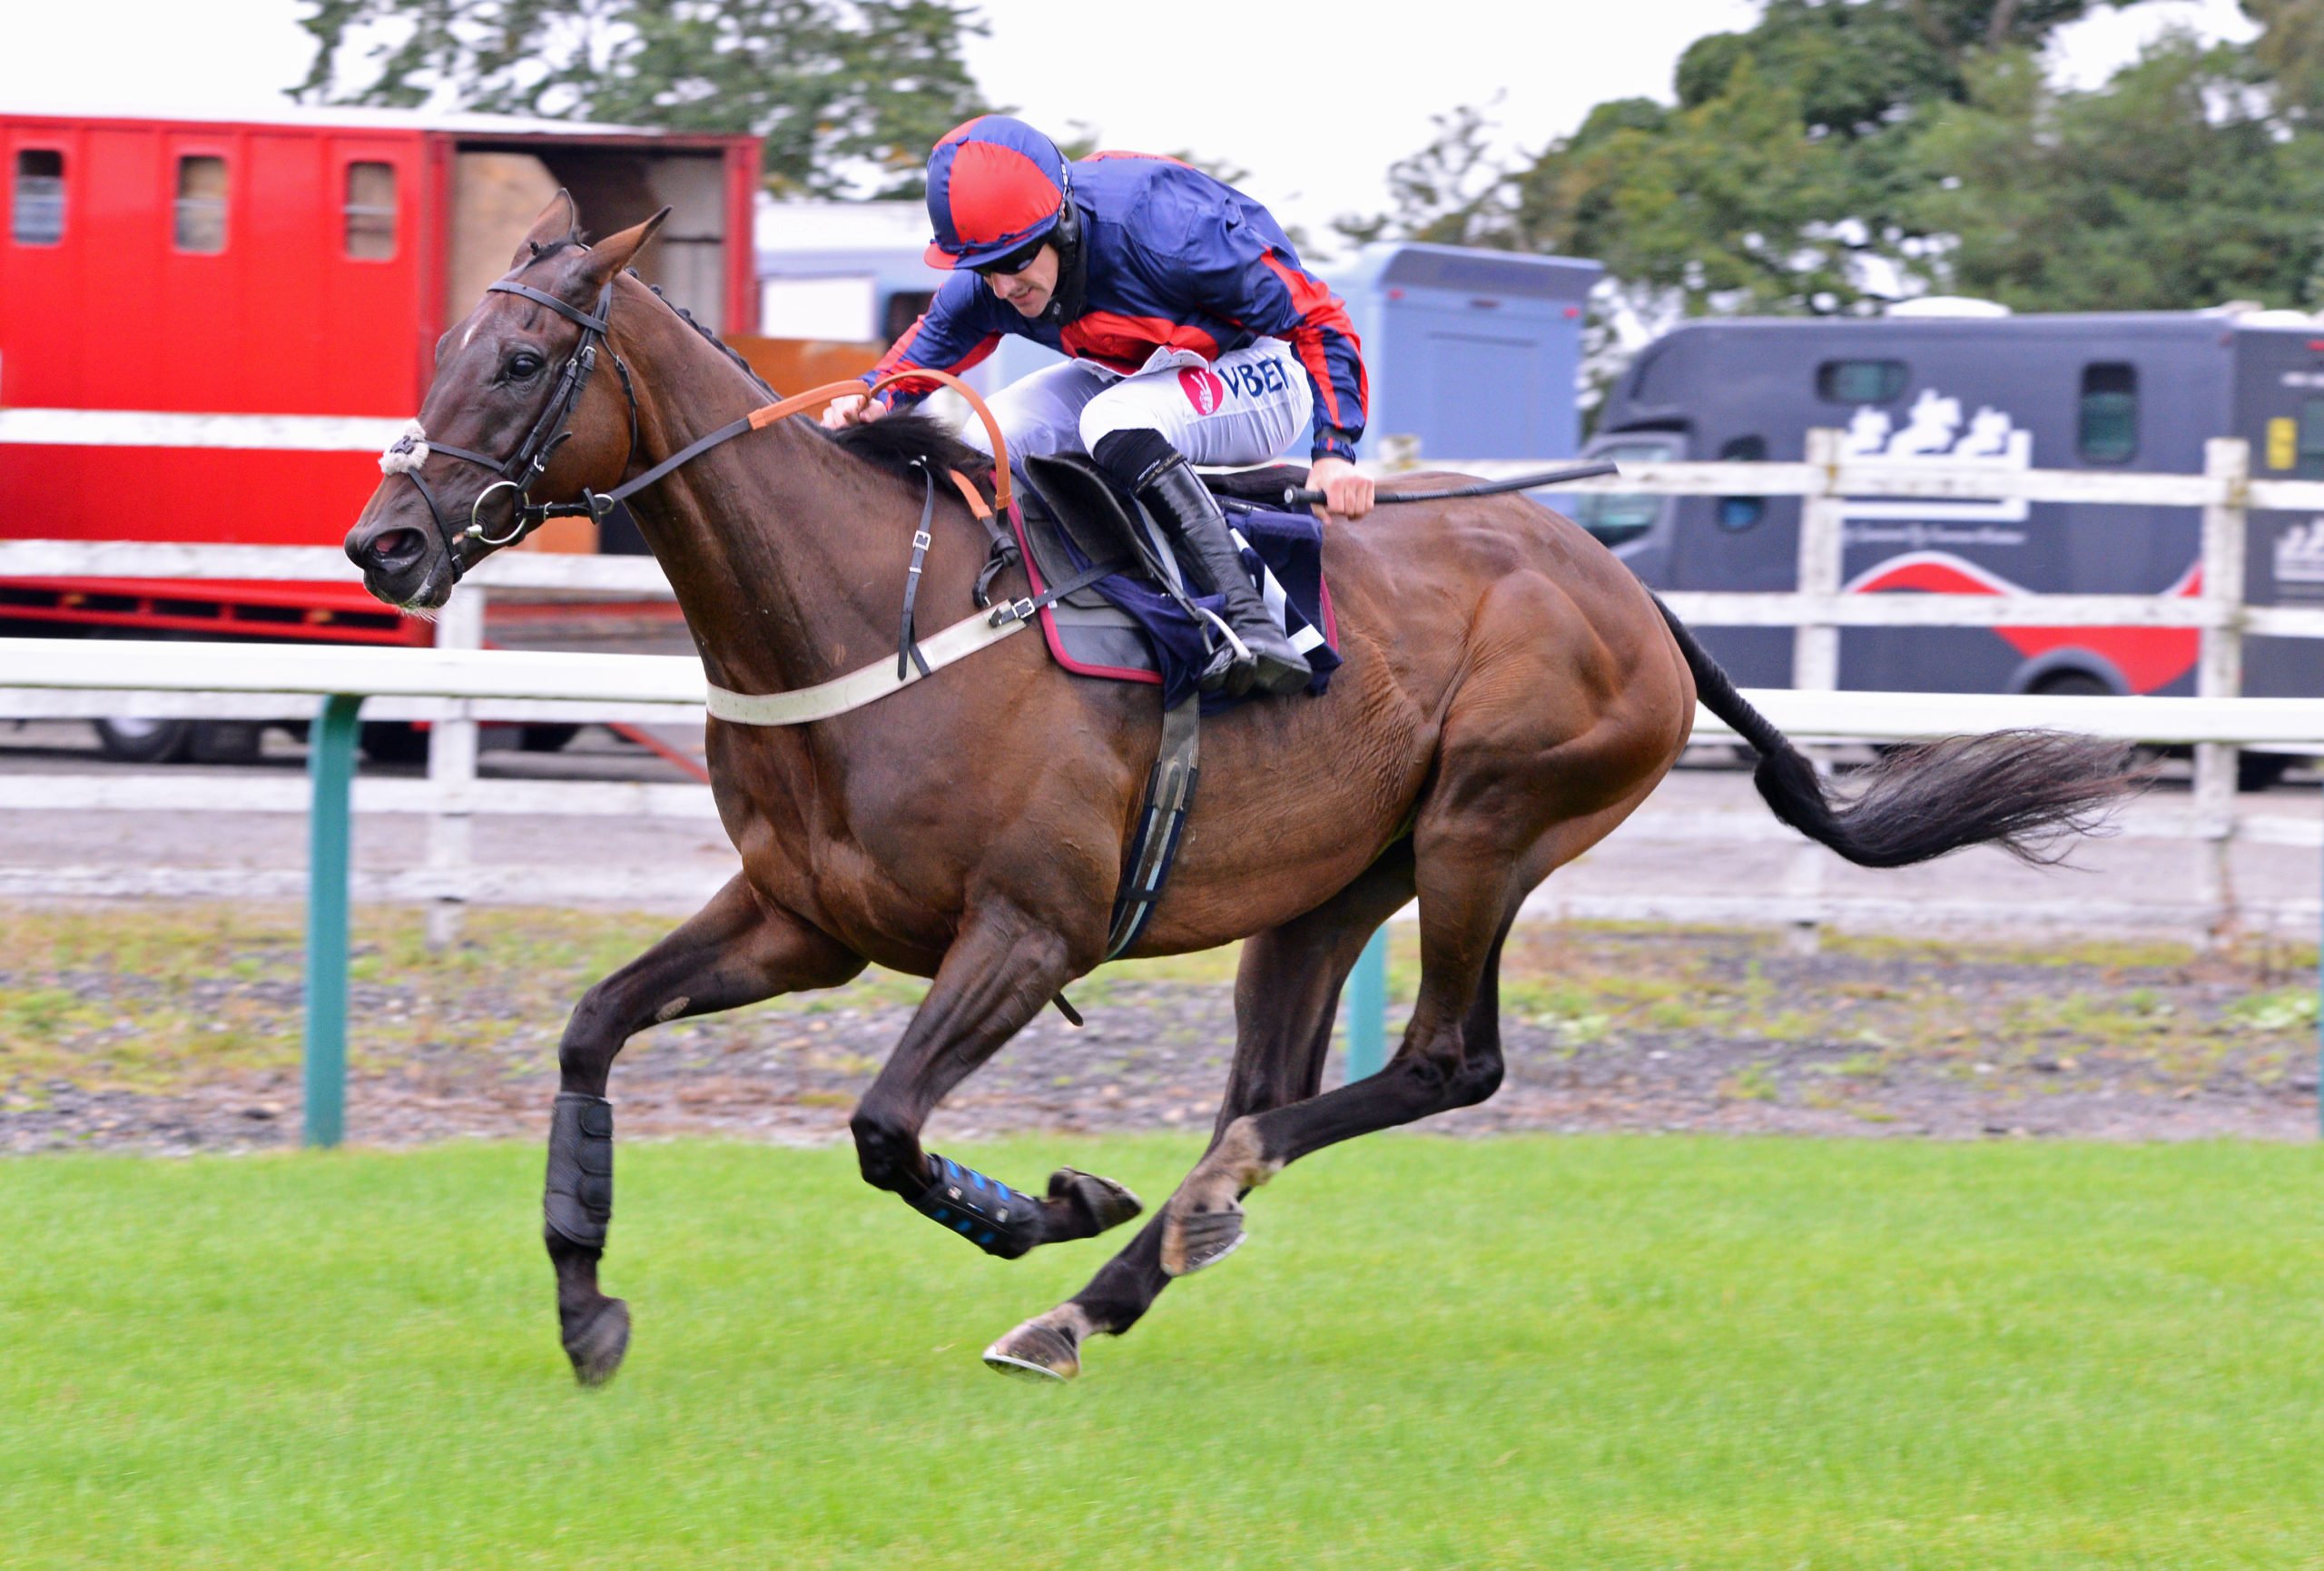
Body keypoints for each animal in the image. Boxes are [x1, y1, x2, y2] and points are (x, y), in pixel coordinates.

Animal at [343, 205, 2138, 1385]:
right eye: (433, 347)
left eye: (520, 357)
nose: (384, 544)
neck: (872, 607)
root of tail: (1623, 583)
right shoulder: (802, 919)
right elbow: (591, 1026)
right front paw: (586, 1305)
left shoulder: (1029, 933)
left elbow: (885, 1128)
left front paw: (1047, 1202)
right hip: (1332, 886)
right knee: (1270, 1084)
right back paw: (1109, 1290)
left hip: (1489, 827)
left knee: (1440, 1064)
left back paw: (1152, 1234)